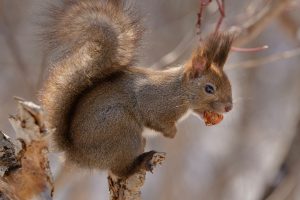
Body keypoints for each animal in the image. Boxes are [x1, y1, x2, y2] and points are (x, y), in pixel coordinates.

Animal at [39, 0, 234, 178]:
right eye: (209, 89)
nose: (229, 107)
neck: (180, 91)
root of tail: (77, 154)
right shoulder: (155, 102)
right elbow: (156, 119)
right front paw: (172, 133)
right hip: (123, 131)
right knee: (120, 171)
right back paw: (140, 162)